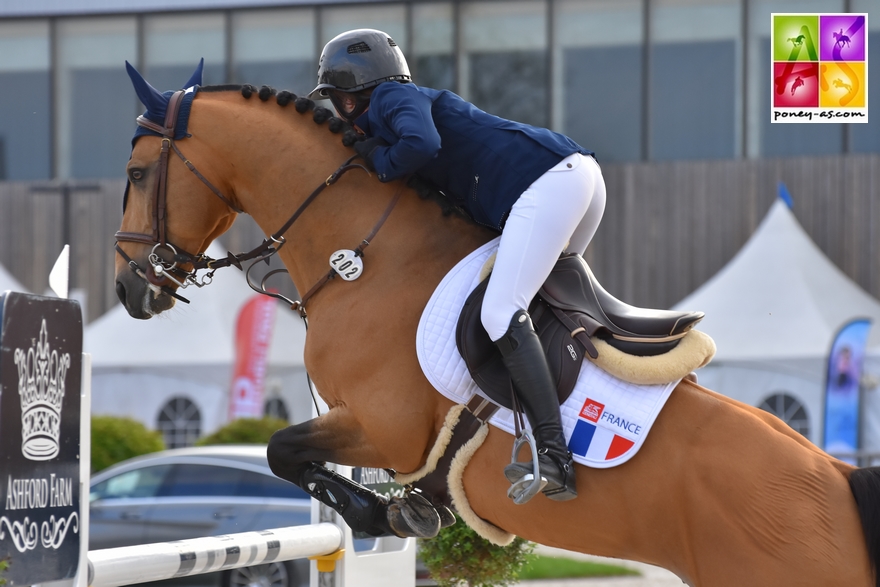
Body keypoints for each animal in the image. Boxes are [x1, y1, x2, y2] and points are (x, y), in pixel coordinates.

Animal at [117, 62, 880, 584]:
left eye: (137, 171)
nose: (129, 288)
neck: (362, 256)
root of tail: (835, 480)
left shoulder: (387, 426)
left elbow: (282, 450)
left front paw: (388, 514)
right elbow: (290, 456)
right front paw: (402, 513)